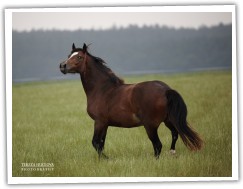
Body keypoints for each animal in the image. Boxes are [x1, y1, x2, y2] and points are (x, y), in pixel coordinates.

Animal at [59, 43, 203, 159]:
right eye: (69, 55)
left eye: (79, 57)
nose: (62, 66)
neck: (102, 90)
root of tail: (166, 90)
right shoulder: (105, 124)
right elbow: (101, 144)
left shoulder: (99, 122)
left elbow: (95, 143)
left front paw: (106, 159)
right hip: (168, 120)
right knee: (174, 134)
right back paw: (172, 152)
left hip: (150, 125)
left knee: (158, 145)